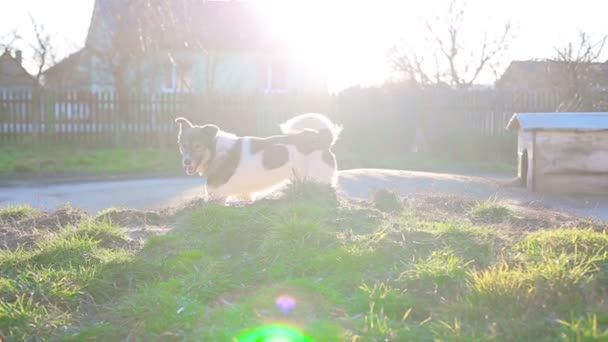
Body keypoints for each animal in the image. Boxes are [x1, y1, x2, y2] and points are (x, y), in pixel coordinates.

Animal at [175, 113, 342, 202]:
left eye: (198, 146)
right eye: (183, 145)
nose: (186, 162)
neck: (216, 151)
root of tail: (321, 137)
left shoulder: (217, 197)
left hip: (317, 180)